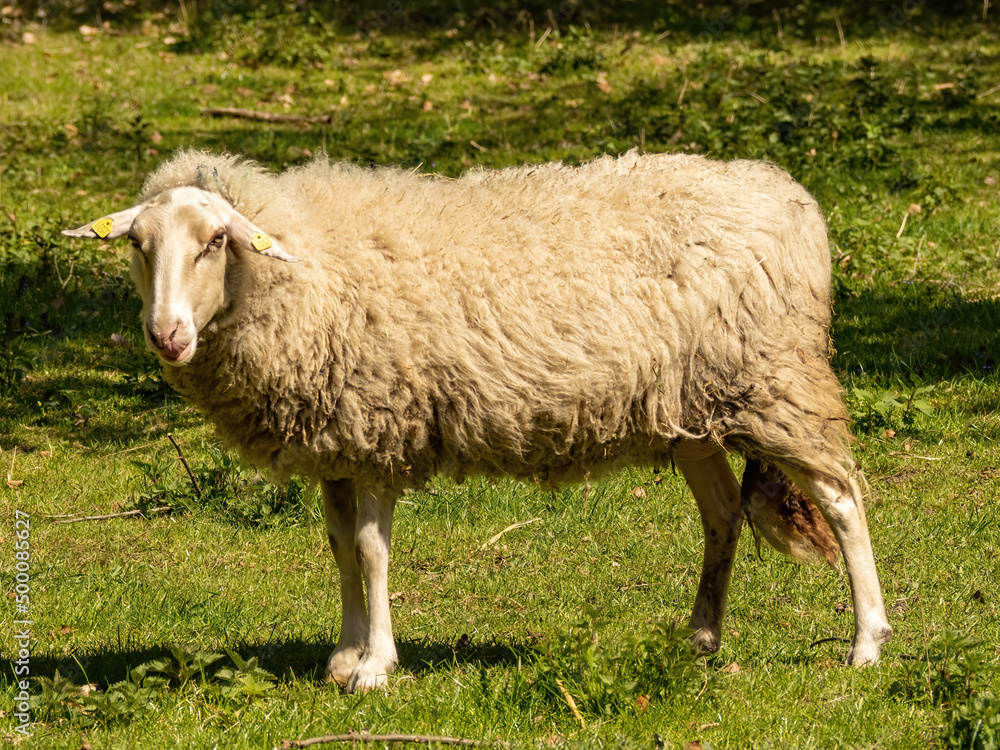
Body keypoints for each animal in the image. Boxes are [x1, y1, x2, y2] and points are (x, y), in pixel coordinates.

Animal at [63, 149, 892, 693]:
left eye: (214, 242)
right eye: (138, 246)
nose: (166, 335)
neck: (301, 269)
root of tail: (793, 196)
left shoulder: (380, 428)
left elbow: (370, 553)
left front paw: (375, 668)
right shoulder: (340, 440)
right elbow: (338, 549)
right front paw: (342, 656)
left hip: (777, 381)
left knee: (843, 499)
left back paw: (867, 643)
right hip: (691, 407)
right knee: (722, 516)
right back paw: (699, 638)